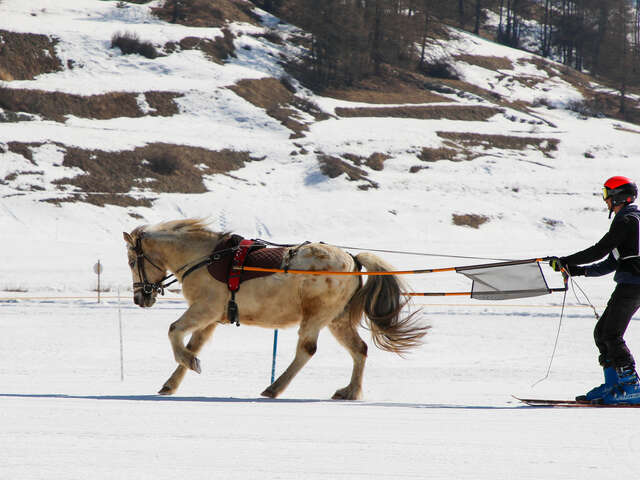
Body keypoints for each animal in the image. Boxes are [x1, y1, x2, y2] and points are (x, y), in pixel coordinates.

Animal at [122, 219, 428, 400]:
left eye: (131, 261)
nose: (140, 298)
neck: (205, 258)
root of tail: (353, 260)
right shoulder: (210, 320)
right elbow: (191, 345)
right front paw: (173, 382)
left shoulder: (204, 310)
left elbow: (174, 332)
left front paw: (190, 364)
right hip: (336, 320)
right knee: (359, 350)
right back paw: (350, 391)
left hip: (315, 316)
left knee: (307, 350)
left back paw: (274, 387)